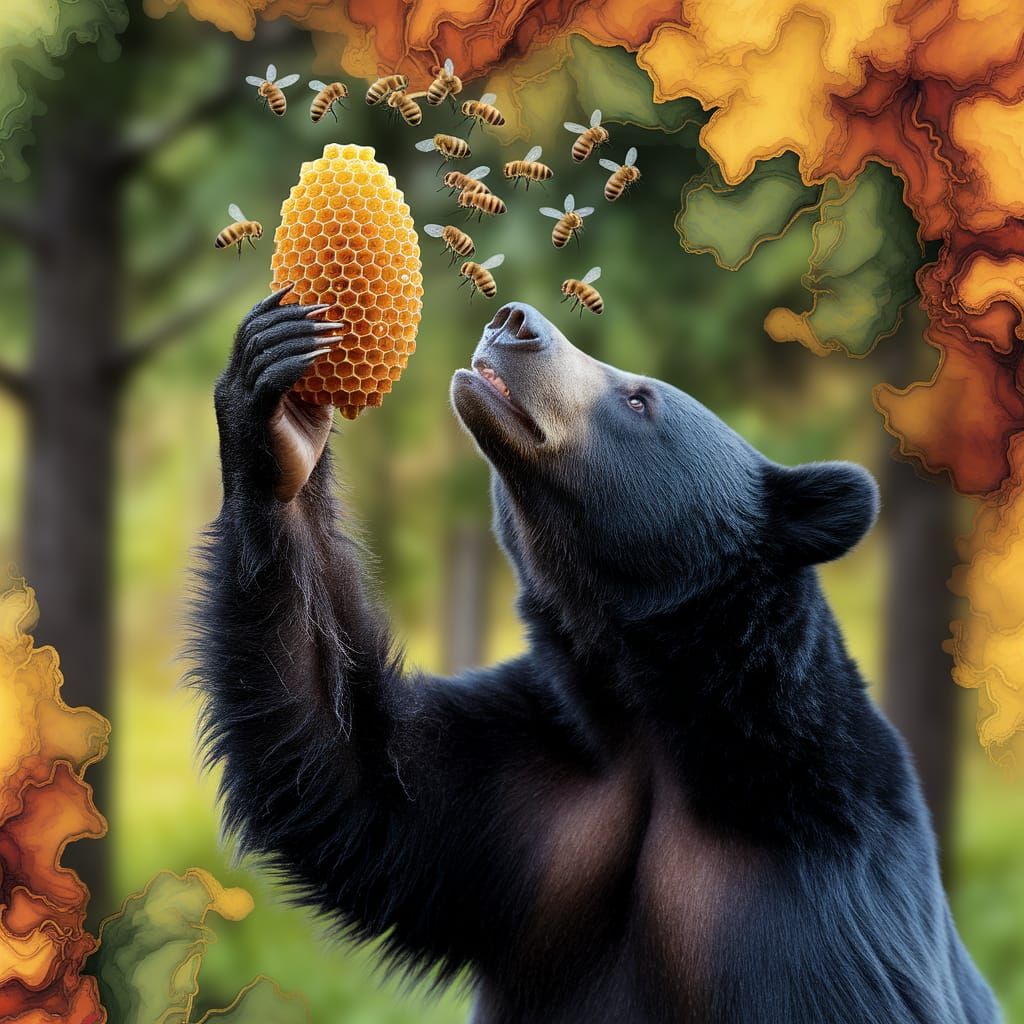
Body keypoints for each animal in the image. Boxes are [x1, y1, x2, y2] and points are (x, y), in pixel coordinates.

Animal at [192, 291, 1000, 1024]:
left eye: (639, 399)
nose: (514, 321)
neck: (655, 710)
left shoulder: (817, 899)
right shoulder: (533, 794)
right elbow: (351, 770)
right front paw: (277, 403)